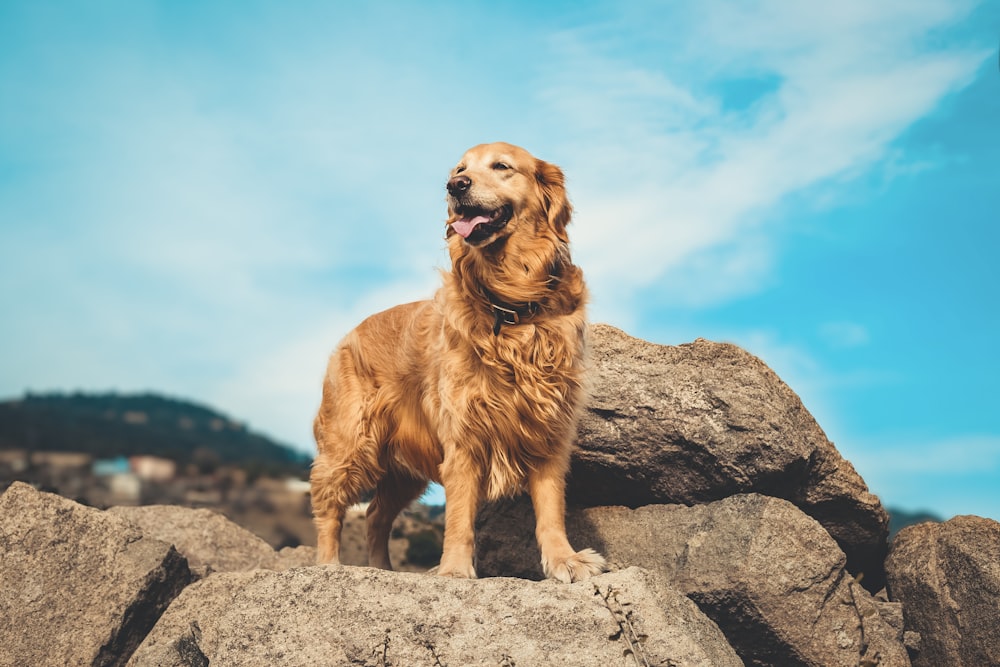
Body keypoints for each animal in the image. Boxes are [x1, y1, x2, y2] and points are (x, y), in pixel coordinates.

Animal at [308, 142, 604, 584]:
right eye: (460, 169)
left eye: (501, 166)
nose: (455, 186)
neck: (510, 305)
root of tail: (348, 335)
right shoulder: (463, 435)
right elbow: (460, 516)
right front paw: (453, 570)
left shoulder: (547, 429)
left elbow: (551, 509)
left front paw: (564, 560)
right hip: (351, 441)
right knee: (330, 504)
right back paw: (329, 566)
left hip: (401, 469)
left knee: (376, 514)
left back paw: (383, 569)